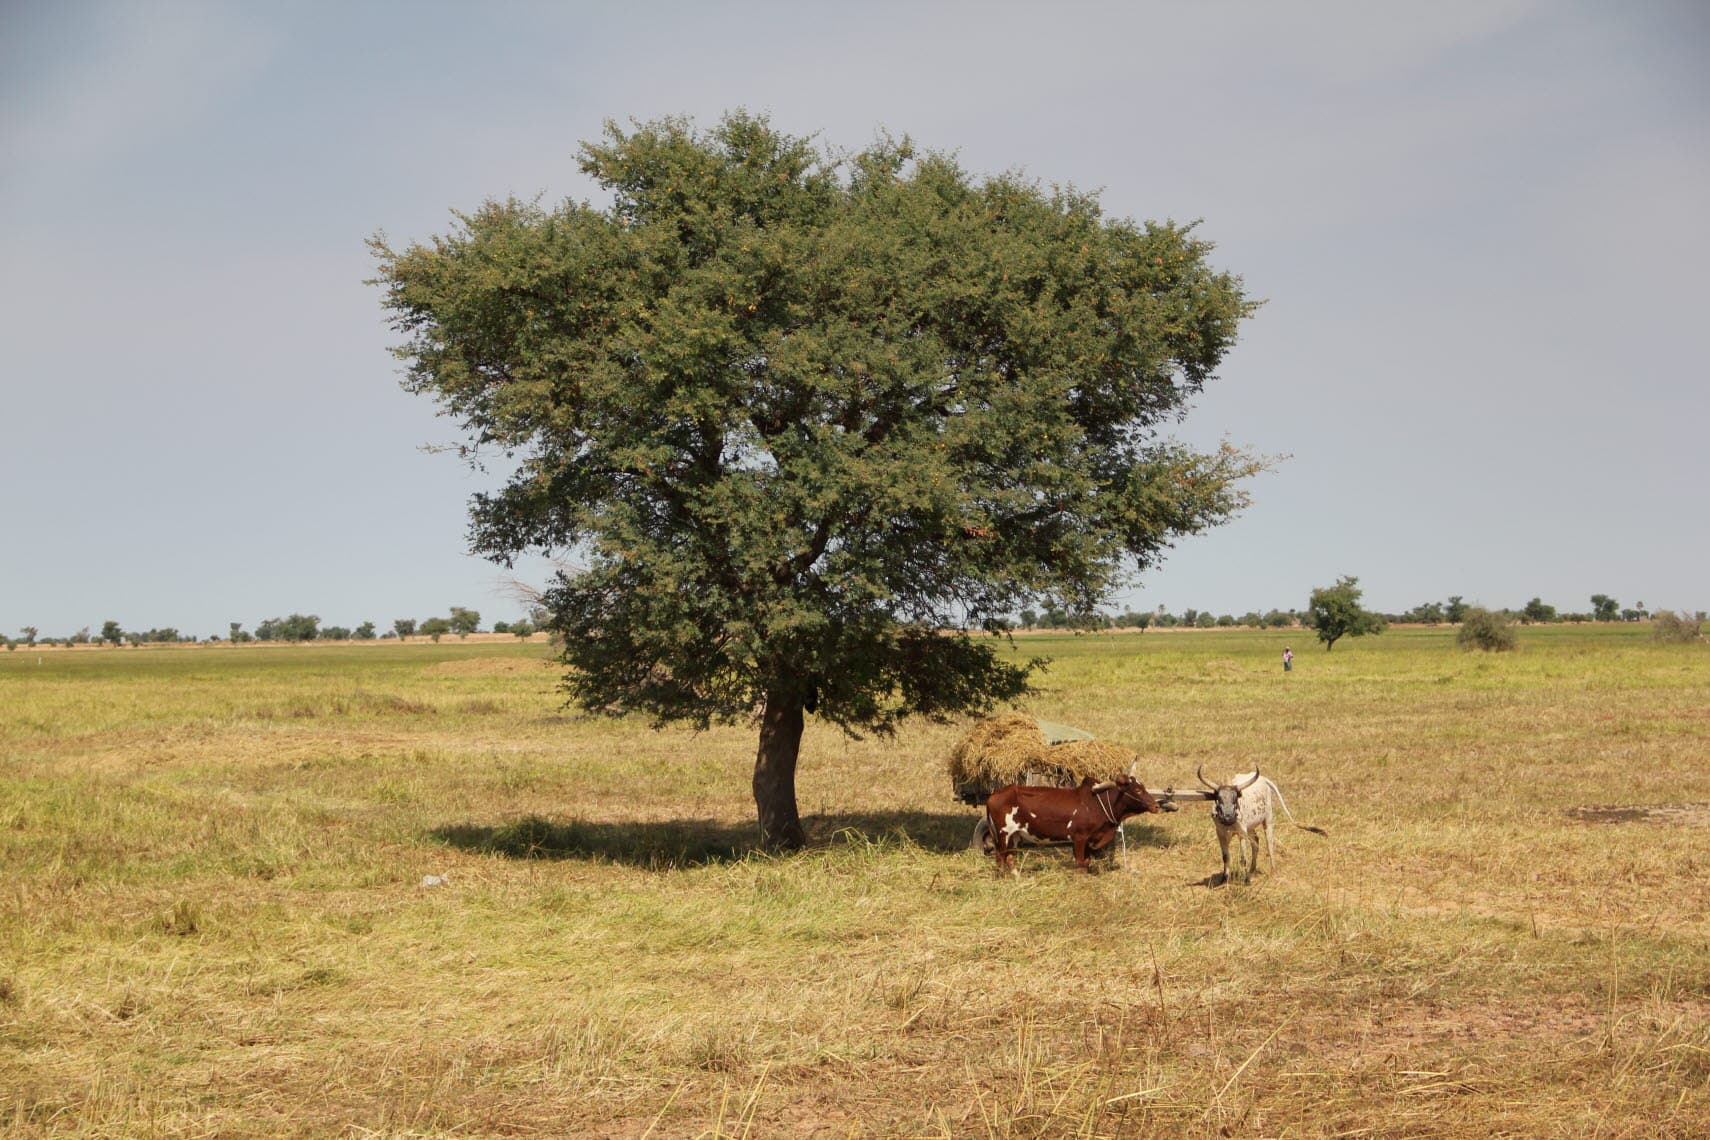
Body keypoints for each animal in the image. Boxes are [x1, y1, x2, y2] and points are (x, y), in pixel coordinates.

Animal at [985, 774, 1163, 876]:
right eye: (1138, 790)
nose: (1156, 806)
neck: (1097, 803)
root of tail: (994, 795)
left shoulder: (1090, 840)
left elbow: (1086, 862)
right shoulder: (1079, 838)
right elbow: (1080, 863)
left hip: (1015, 836)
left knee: (1010, 857)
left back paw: (1017, 877)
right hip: (1003, 834)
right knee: (1000, 858)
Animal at [1196, 765, 1326, 883]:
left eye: (1235, 798)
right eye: (1219, 798)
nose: (1228, 816)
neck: (1229, 824)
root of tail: (1263, 779)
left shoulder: (1241, 832)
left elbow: (1243, 858)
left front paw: (1245, 880)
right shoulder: (1221, 833)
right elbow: (1225, 857)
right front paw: (1224, 879)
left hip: (1267, 819)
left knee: (1269, 845)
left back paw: (1272, 871)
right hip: (1250, 827)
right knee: (1256, 841)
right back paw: (1252, 870)